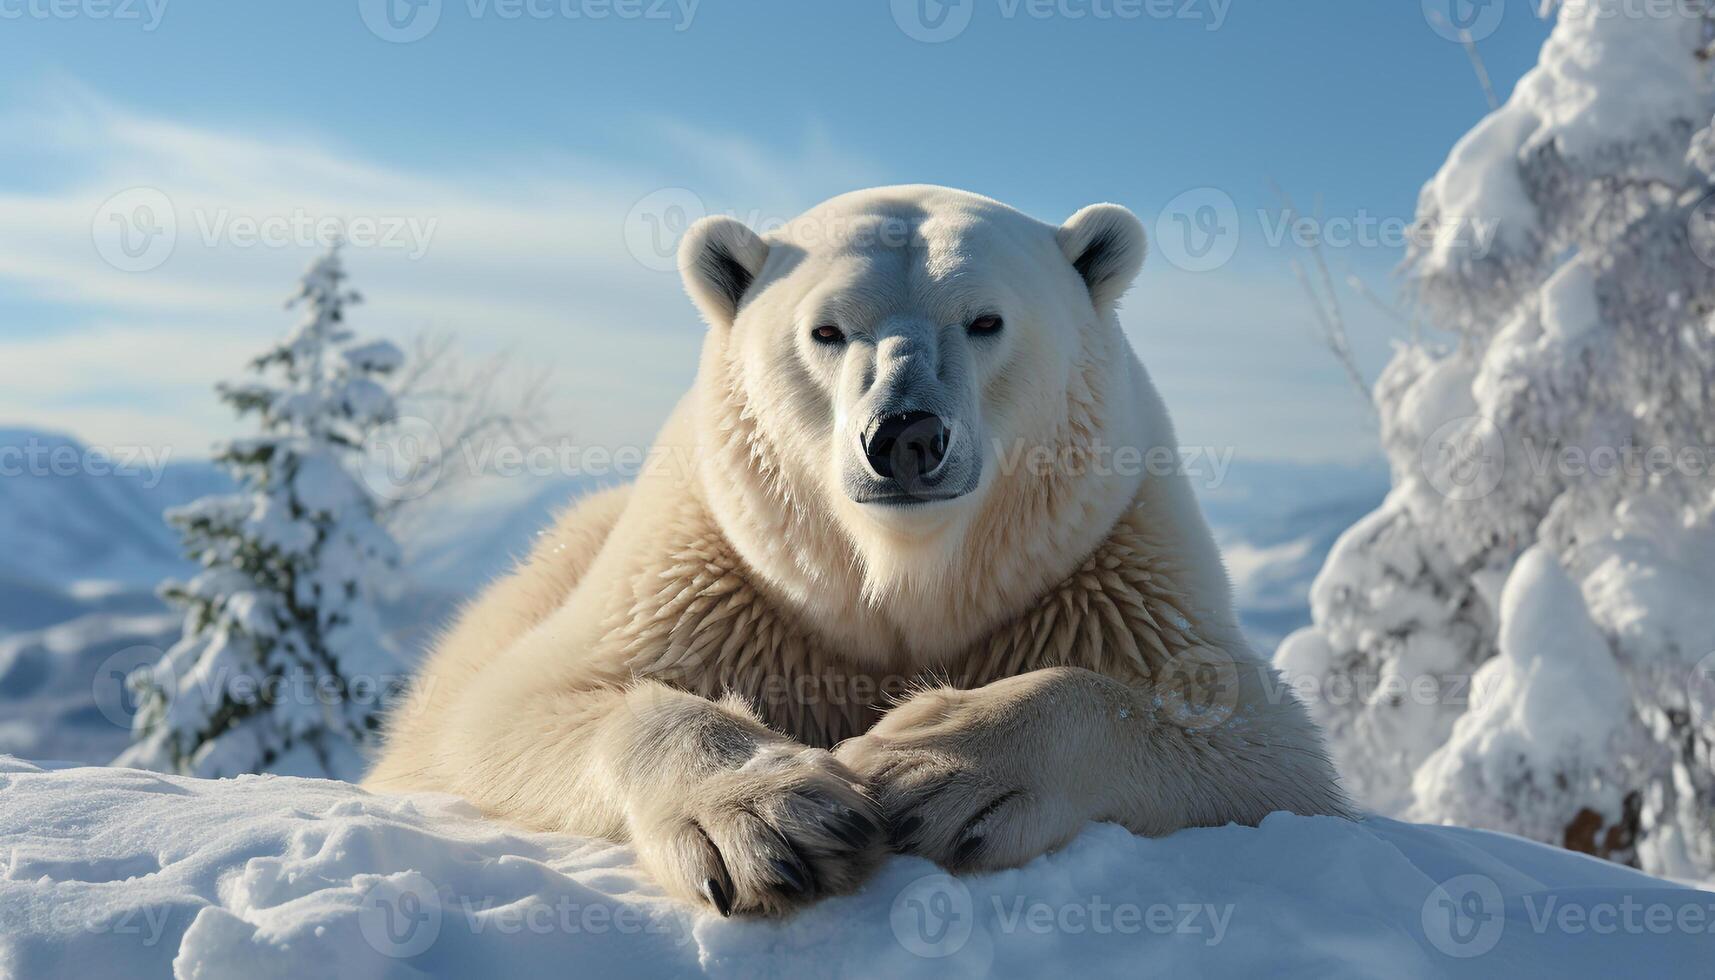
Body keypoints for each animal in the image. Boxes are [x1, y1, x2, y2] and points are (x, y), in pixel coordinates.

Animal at [368, 183, 1344, 919]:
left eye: (985, 320)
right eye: (826, 329)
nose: (906, 435)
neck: (902, 584)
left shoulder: (1106, 563)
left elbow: (1252, 736)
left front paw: (928, 764)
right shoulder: (708, 571)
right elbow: (515, 708)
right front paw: (775, 820)